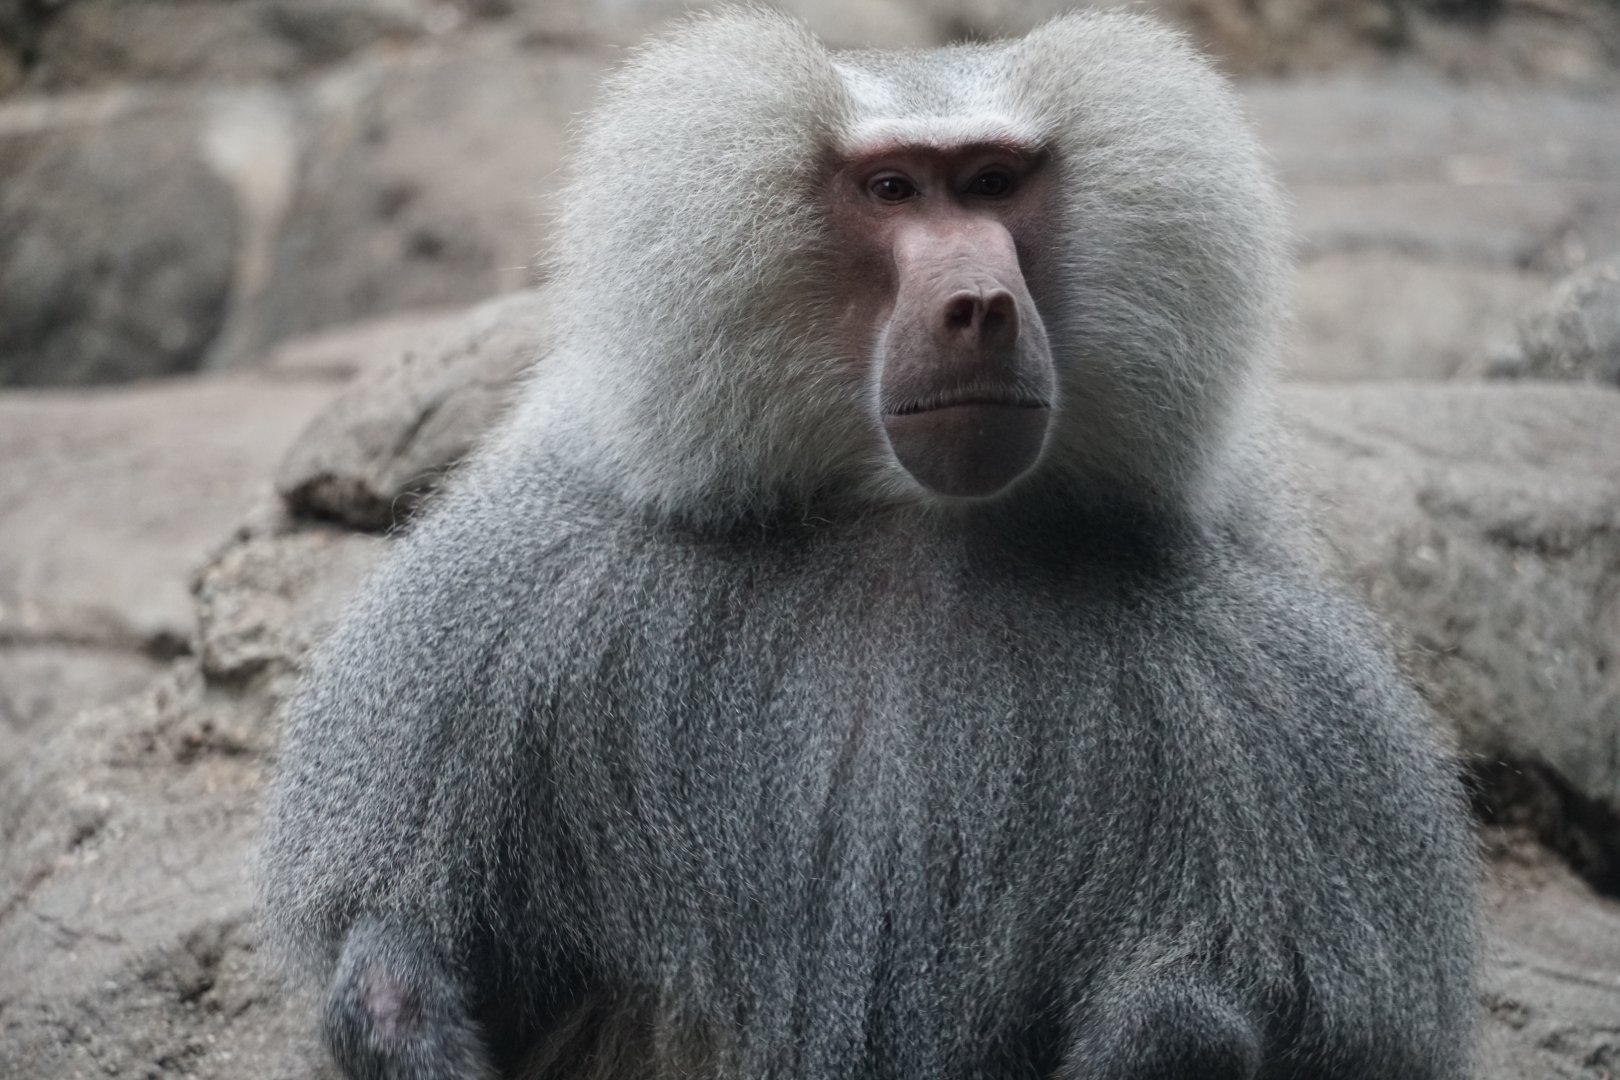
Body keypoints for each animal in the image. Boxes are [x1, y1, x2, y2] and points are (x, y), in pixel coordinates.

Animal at [257, 8, 1479, 1080]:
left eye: (992, 184)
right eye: (893, 190)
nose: (982, 304)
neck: (905, 521)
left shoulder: (1256, 680)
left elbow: (1297, 1033)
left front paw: (1167, 1027)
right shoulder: (533, 591)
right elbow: (403, 948)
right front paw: (403, 1006)